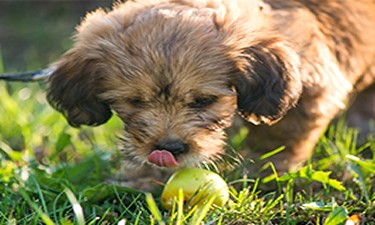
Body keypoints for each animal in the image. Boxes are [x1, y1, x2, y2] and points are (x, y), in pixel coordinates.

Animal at [47, 0, 375, 191]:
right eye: (135, 102)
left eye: (202, 101)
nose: (169, 147)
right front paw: (142, 178)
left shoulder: (315, 86)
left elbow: (280, 135)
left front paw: (262, 170)